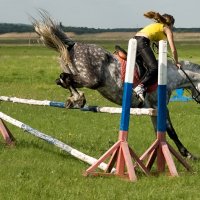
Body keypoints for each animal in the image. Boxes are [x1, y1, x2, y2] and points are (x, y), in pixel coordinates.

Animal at [32, 12, 200, 159]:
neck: (169, 75)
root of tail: (73, 45)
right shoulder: (160, 106)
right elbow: (171, 131)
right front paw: (188, 154)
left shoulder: (153, 109)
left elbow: (159, 132)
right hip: (92, 79)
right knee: (67, 79)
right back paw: (78, 98)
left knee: (62, 79)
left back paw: (75, 99)